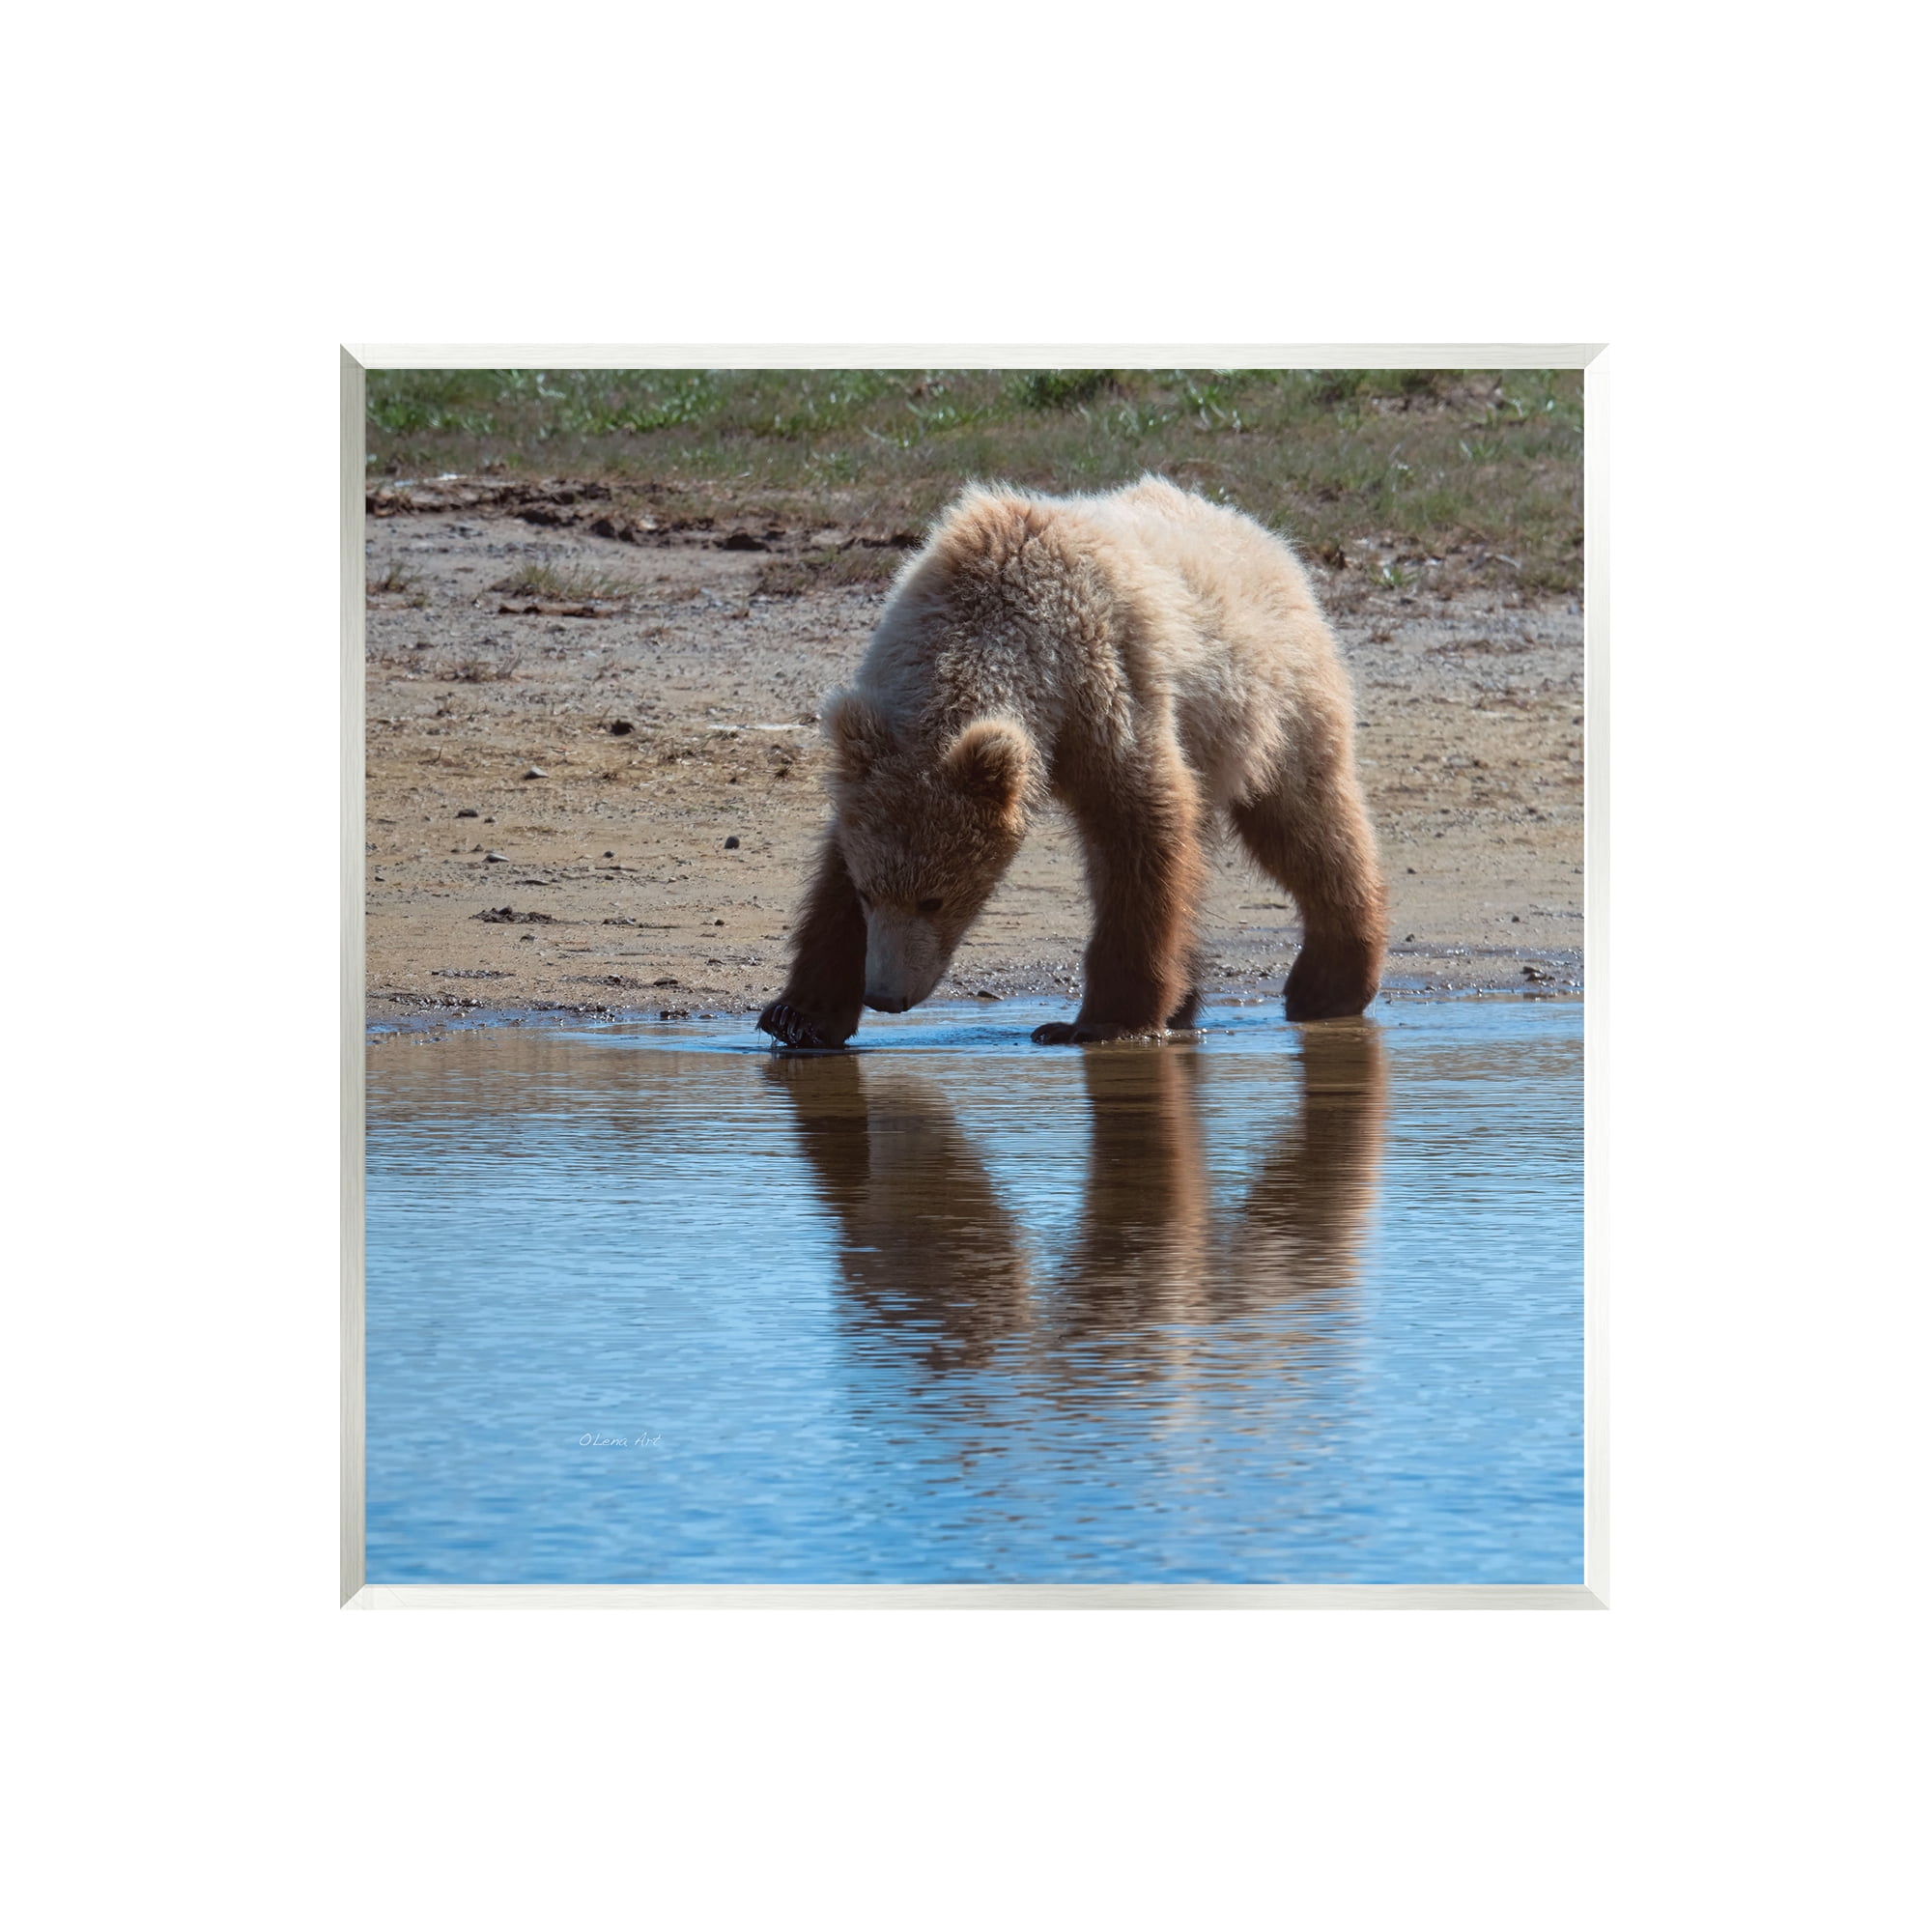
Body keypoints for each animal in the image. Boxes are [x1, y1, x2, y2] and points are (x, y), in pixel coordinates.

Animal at [756, 476, 1386, 1049]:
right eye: (870, 893)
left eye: (934, 898)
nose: (886, 996)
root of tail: (1263, 534)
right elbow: (834, 867)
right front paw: (798, 1015)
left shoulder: (1106, 688)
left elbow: (1140, 832)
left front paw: (1098, 1020)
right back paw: (1190, 1000)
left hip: (1274, 702)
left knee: (1305, 825)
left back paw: (1328, 983)